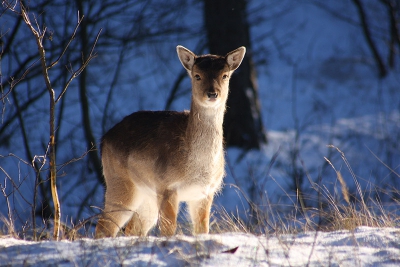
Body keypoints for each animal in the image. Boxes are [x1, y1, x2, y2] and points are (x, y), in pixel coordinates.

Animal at [95, 44, 245, 239]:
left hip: (147, 196)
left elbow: (202, 229)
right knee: (104, 226)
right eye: (197, 75)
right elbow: (168, 229)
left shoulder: (205, 192)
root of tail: (104, 139)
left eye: (225, 75)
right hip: (120, 183)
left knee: (132, 228)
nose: (212, 94)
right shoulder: (167, 185)